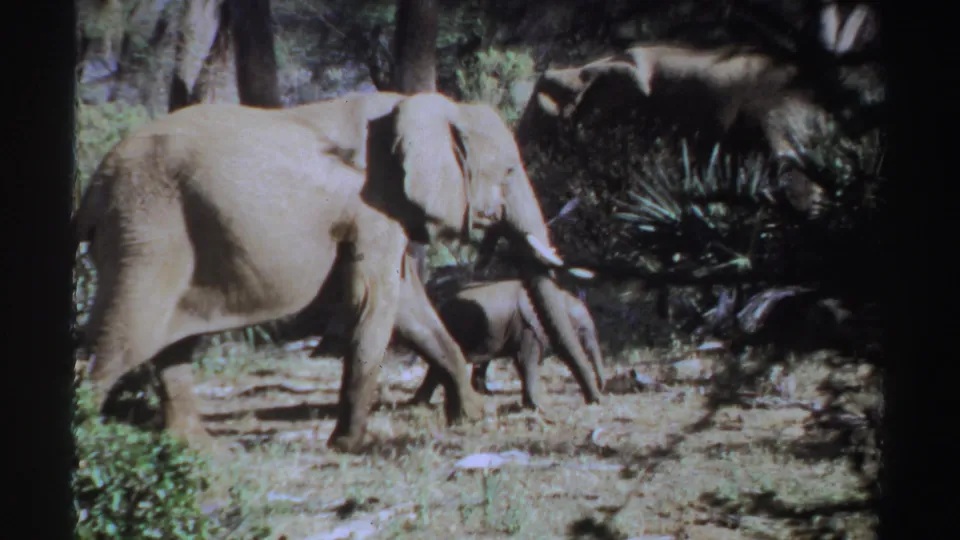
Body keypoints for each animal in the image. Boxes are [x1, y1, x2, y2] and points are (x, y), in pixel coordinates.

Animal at [409, 279, 606, 411]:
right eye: (582, 330)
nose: (600, 395)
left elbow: (521, 361)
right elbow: (526, 360)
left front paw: (529, 405)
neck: (560, 295)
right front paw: (537, 406)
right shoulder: (528, 326)